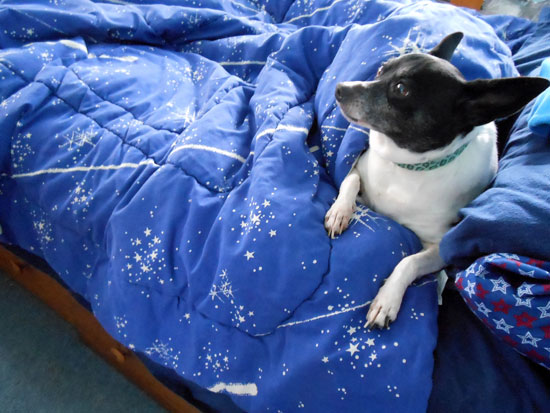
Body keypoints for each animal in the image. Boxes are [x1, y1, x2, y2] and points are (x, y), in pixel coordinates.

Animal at [325, 32, 549, 329]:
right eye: (381, 70)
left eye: (401, 89)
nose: (340, 88)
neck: (408, 166)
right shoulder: (357, 166)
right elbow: (349, 183)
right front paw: (339, 212)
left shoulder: (441, 248)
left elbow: (408, 262)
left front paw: (387, 300)